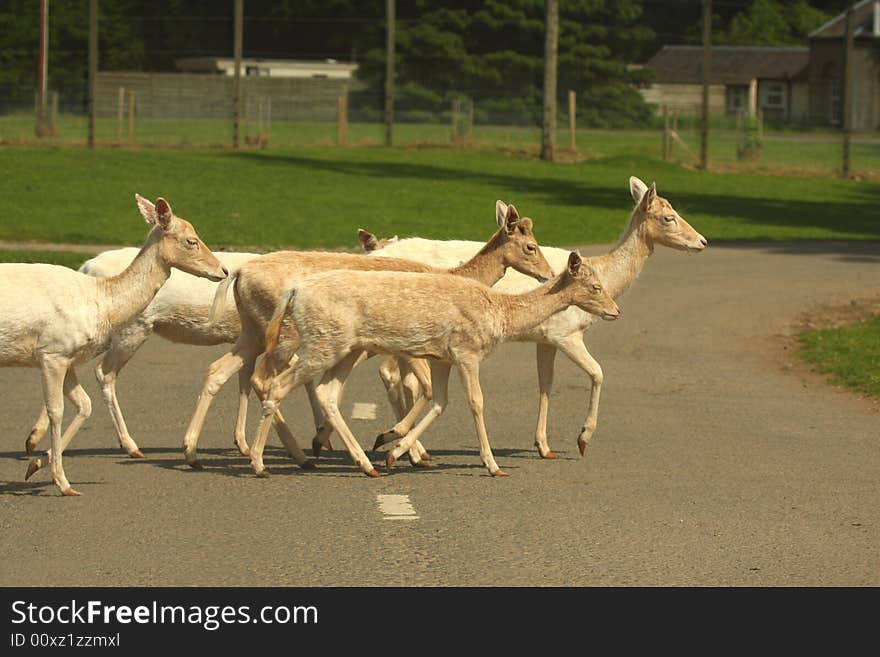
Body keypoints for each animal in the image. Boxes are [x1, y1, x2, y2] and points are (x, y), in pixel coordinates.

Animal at [0, 195, 227, 492]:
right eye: (191, 240)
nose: (223, 270)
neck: (101, 301)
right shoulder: (52, 352)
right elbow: (56, 411)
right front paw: (64, 483)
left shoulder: (69, 356)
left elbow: (85, 405)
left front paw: (36, 465)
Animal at [180, 200, 552, 466]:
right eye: (531, 246)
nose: (549, 275)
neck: (455, 275)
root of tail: (238, 272)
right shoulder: (407, 347)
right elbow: (421, 387)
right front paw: (396, 443)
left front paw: (404, 448)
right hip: (284, 336)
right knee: (263, 379)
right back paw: (293, 452)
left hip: (254, 330)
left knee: (220, 369)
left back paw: (196, 451)